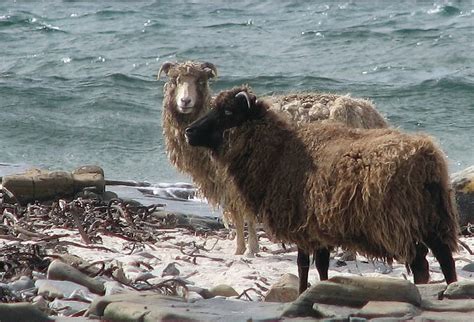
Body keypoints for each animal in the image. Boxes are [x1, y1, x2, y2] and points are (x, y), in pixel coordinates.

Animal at [185, 87, 460, 294]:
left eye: (228, 111)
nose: (189, 131)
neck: (279, 152)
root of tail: (427, 157)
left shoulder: (302, 226)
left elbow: (303, 265)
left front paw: (302, 291)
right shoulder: (318, 227)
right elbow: (322, 265)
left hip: (403, 223)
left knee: (421, 264)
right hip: (434, 219)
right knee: (445, 260)